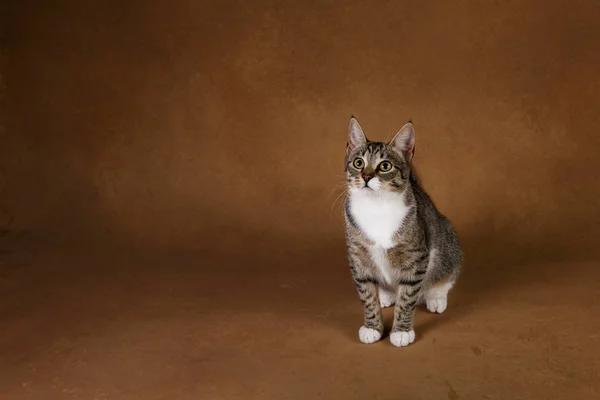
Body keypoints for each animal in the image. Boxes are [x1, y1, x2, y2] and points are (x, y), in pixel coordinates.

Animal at [342, 116, 464, 346]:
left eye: (385, 166)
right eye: (358, 162)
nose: (366, 176)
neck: (376, 208)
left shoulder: (416, 258)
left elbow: (407, 298)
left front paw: (401, 331)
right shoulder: (357, 257)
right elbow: (367, 295)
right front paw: (373, 327)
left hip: (446, 242)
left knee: (446, 272)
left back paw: (436, 296)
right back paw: (386, 294)